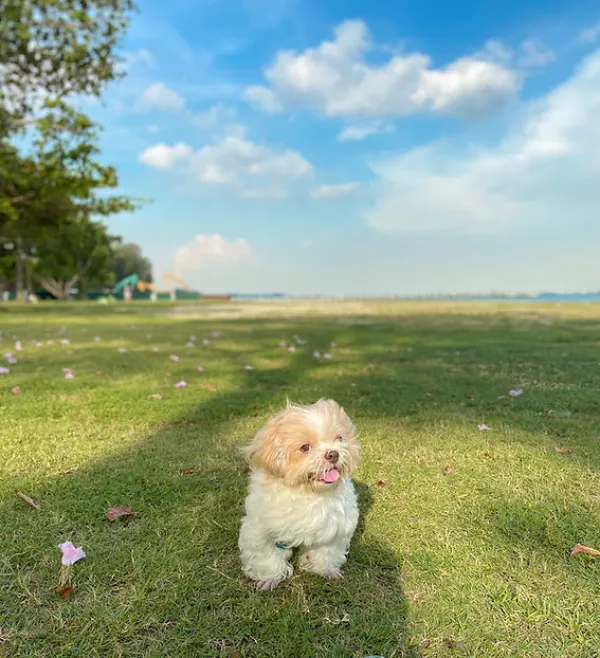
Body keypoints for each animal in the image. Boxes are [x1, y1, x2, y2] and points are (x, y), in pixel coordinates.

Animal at [239, 398, 360, 588]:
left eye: (339, 438)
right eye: (305, 447)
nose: (333, 454)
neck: (308, 493)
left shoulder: (334, 527)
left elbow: (327, 551)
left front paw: (327, 570)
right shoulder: (260, 530)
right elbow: (266, 556)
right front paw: (269, 579)